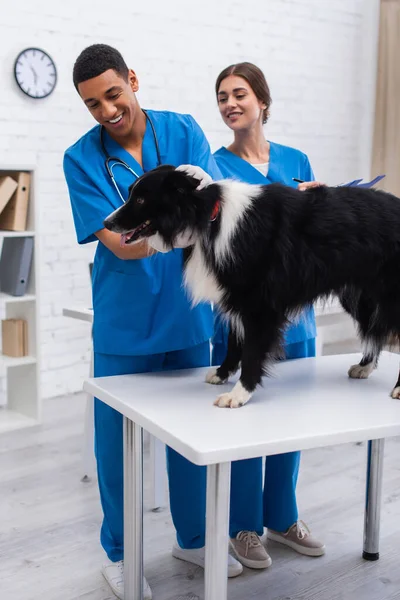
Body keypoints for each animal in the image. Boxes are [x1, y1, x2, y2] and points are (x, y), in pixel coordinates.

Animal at [104, 164, 400, 408]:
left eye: (141, 199)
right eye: (131, 194)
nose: (106, 223)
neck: (209, 218)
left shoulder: (259, 303)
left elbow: (252, 349)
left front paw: (239, 393)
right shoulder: (236, 296)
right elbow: (235, 340)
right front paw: (222, 373)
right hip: (360, 295)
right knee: (374, 330)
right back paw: (364, 367)